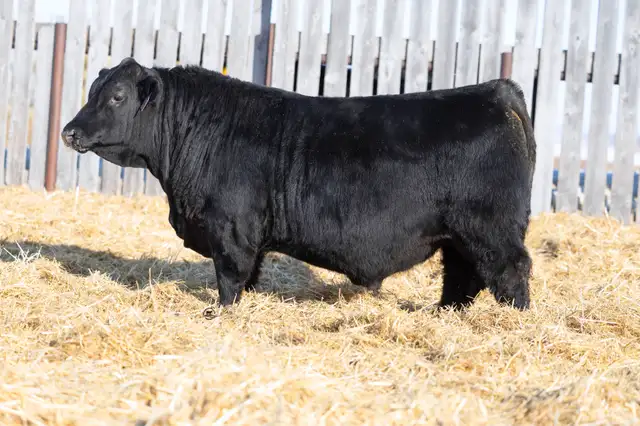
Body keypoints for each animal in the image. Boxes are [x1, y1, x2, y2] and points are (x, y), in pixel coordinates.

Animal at [61, 57, 536, 311]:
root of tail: (496, 90)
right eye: (93, 90)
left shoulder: (231, 228)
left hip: (490, 228)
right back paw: (444, 315)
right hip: (459, 234)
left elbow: (230, 277)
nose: (69, 132)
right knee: (462, 276)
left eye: (117, 96)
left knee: (510, 272)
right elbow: (249, 276)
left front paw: (219, 313)